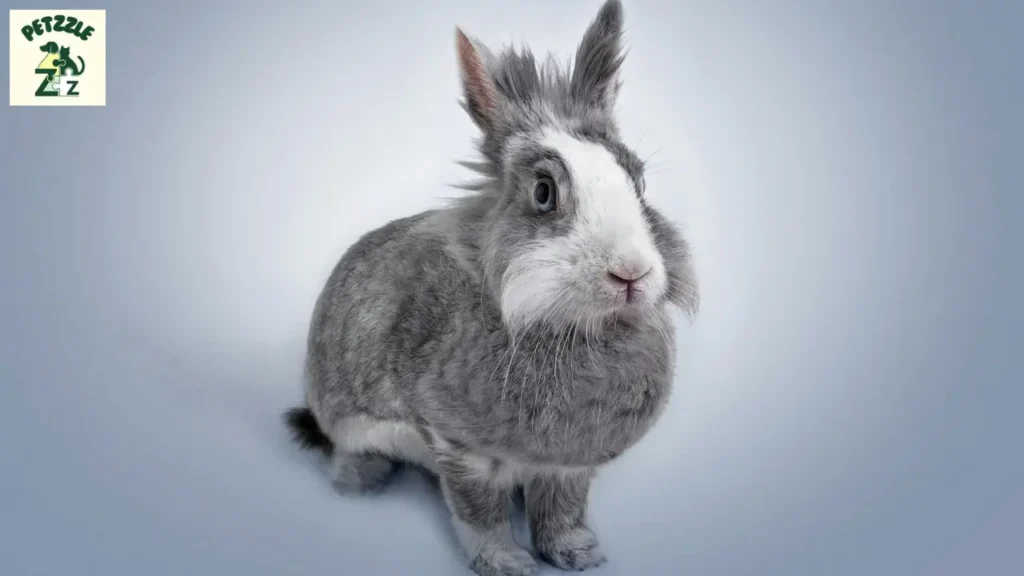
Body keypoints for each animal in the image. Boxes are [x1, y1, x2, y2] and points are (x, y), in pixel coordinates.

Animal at [283, 1, 698, 574]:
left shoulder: (568, 466)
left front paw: (578, 554)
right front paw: (508, 563)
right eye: (544, 193)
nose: (631, 273)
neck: (567, 328)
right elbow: (479, 514)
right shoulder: (460, 450)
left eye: (638, 182)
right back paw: (361, 485)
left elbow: (563, 509)